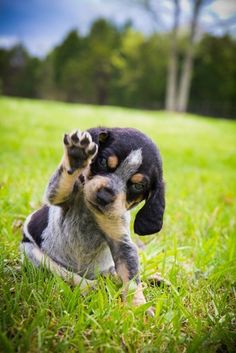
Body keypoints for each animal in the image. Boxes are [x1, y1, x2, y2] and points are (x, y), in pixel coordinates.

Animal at [21, 126, 165, 306]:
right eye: (102, 161)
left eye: (138, 186)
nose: (104, 196)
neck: (91, 213)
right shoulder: (60, 197)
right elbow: (62, 184)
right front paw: (76, 157)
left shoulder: (122, 243)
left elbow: (132, 281)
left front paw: (138, 305)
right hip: (34, 253)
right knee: (73, 278)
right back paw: (94, 286)